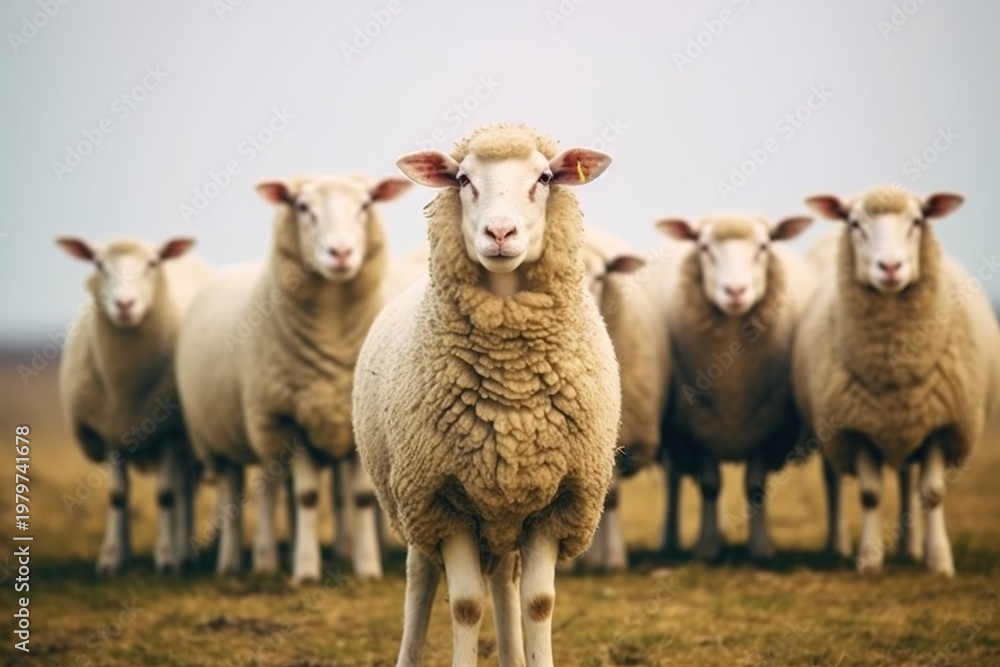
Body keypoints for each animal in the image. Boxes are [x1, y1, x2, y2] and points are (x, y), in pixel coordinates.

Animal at [56, 236, 210, 575]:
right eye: (99, 264)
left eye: (152, 263)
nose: (124, 305)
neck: (125, 390)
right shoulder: (111, 430)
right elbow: (117, 496)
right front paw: (112, 559)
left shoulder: (169, 432)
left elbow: (166, 494)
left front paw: (167, 559)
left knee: (183, 490)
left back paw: (184, 552)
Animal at [175, 173, 411, 583]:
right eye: (302, 207)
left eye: (366, 204)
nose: (341, 253)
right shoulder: (289, 421)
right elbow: (307, 498)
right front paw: (305, 570)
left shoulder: (357, 422)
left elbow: (360, 498)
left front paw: (367, 567)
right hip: (229, 437)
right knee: (243, 492)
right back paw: (246, 562)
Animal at [353, 124, 621, 667]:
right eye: (462, 179)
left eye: (544, 177)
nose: (499, 234)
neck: (511, 389)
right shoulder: (443, 498)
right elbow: (465, 606)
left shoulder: (557, 500)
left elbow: (538, 603)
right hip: (413, 501)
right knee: (421, 579)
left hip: (501, 513)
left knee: (504, 581)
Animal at [655, 212, 815, 560]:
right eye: (704, 247)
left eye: (764, 245)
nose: (736, 291)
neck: (732, 387)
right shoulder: (699, 426)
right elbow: (710, 486)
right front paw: (706, 548)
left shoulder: (765, 426)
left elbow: (755, 488)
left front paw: (761, 548)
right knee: (674, 478)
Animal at [795, 186, 1000, 576]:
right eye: (854, 223)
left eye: (918, 221)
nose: (890, 268)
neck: (895, 368)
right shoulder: (855, 426)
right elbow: (870, 494)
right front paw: (869, 561)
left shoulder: (939, 423)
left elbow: (932, 494)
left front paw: (940, 563)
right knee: (835, 479)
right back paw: (839, 545)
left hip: (910, 423)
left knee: (907, 479)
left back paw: (911, 549)